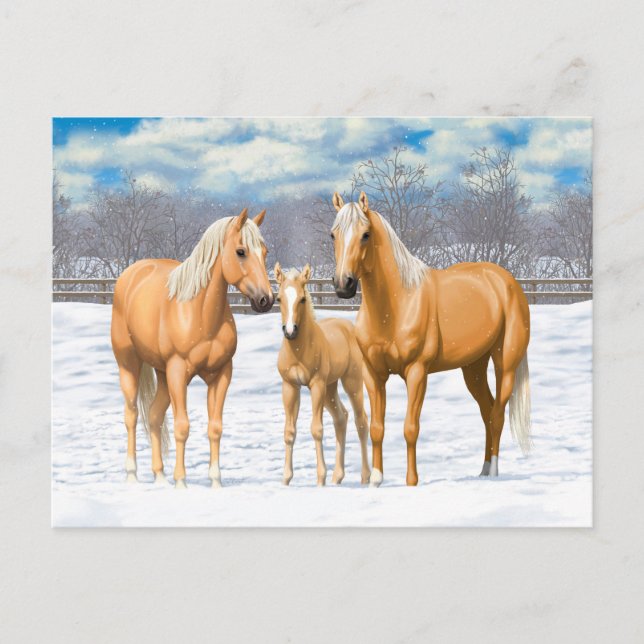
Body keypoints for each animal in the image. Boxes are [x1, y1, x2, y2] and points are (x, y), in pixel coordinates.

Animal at [111, 207, 274, 488]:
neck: (199, 313)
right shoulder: (178, 372)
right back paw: (132, 475)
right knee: (131, 415)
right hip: (129, 364)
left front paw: (216, 482)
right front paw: (181, 483)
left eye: (264, 252)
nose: (266, 300)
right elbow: (182, 426)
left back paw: (160, 477)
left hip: (162, 374)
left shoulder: (221, 374)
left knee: (154, 415)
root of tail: (132, 273)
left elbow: (215, 427)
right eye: (241, 251)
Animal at [274, 264, 371, 486]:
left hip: (351, 382)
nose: (290, 331)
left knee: (361, 421)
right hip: (330, 388)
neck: (299, 350)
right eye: (279, 299)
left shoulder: (316, 385)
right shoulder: (289, 386)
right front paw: (286, 479)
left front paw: (320, 479)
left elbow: (316, 429)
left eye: (302, 298)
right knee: (341, 418)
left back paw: (365, 477)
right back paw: (338, 477)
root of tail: (349, 327)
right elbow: (289, 432)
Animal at [330, 191, 532, 486]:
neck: (396, 304)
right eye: (333, 234)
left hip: (505, 364)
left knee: (497, 414)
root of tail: (507, 281)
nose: (343, 285)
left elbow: (410, 427)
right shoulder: (373, 373)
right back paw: (483, 470)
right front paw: (376, 479)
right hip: (473, 368)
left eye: (365, 235)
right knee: (487, 411)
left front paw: (412, 481)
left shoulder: (417, 372)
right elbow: (377, 427)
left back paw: (493, 471)